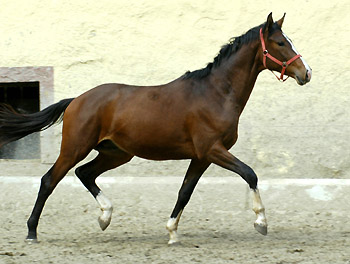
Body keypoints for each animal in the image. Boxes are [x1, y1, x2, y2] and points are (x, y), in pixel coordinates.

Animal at [0, 11, 312, 243]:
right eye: (281, 43)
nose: (306, 73)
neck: (215, 93)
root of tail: (77, 99)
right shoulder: (213, 150)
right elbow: (250, 173)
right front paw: (261, 222)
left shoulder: (201, 156)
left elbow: (185, 192)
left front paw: (172, 232)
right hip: (76, 147)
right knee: (49, 180)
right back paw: (32, 232)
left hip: (116, 153)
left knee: (84, 173)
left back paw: (105, 216)